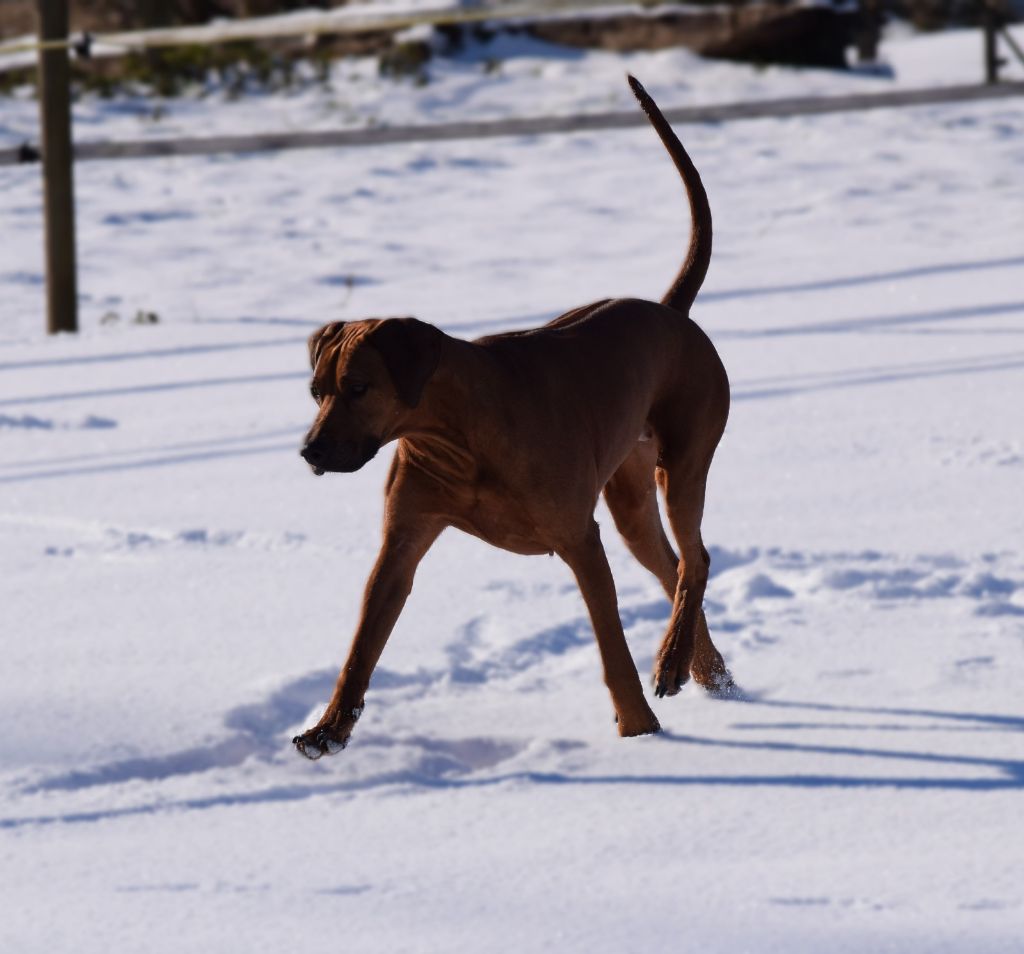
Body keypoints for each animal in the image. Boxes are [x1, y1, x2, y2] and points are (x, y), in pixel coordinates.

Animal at [292, 76, 733, 761]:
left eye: (359, 388)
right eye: (316, 392)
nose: (309, 452)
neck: (457, 435)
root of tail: (671, 313)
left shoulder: (579, 540)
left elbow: (611, 649)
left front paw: (638, 732)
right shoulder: (401, 544)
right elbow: (362, 646)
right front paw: (331, 727)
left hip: (682, 464)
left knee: (698, 558)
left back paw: (670, 662)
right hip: (632, 500)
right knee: (675, 566)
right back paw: (703, 668)